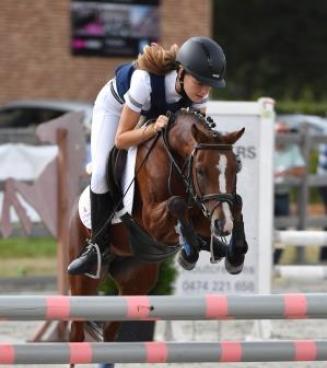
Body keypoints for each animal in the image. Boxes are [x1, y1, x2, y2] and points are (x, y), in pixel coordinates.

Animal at [69, 107, 247, 348]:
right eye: (200, 170)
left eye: (235, 168)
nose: (223, 225)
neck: (176, 159)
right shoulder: (151, 222)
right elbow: (176, 203)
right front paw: (189, 253)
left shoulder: (204, 213)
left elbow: (236, 203)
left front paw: (233, 253)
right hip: (83, 281)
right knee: (76, 332)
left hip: (135, 281)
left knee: (110, 328)